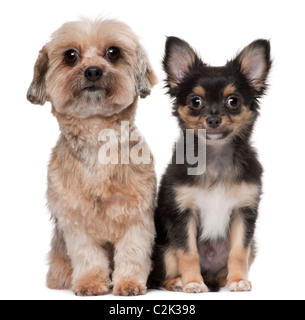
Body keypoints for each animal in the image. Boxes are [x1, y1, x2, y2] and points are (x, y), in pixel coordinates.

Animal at [26, 18, 157, 296]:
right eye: (70, 56)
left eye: (113, 53)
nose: (93, 71)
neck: (98, 137)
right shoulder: (76, 220)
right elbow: (87, 255)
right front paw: (90, 283)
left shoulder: (137, 217)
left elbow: (132, 253)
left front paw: (129, 284)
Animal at [150, 36, 270, 292]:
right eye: (196, 102)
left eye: (233, 101)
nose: (214, 119)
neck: (215, 156)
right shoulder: (183, 214)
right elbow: (188, 252)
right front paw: (193, 283)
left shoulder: (243, 213)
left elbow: (238, 251)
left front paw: (238, 280)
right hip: (162, 248)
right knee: (160, 274)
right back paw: (178, 282)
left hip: (252, 247)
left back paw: (226, 279)